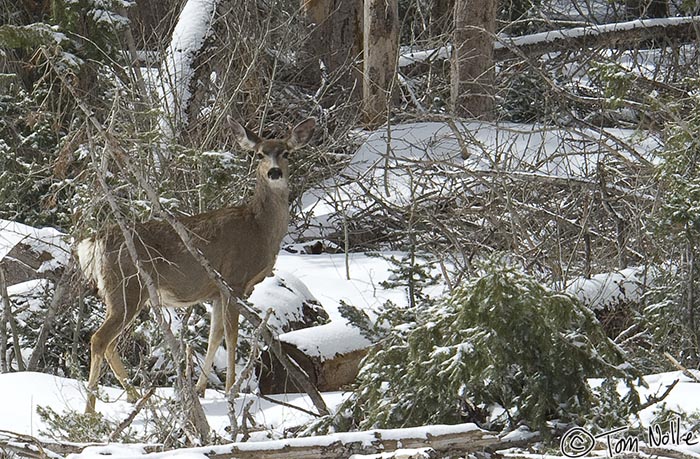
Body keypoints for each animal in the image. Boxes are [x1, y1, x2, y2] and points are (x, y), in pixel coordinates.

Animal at [76, 117, 314, 414]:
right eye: (259, 154)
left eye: (286, 152)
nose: (273, 172)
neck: (259, 228)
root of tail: (93, 241)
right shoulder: (233, 280)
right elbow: (232, 336)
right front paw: (231, 390)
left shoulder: (216, 291)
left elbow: (215, 335)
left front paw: (201, 389)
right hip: (127, 287)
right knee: (99, 339)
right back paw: (91, 410)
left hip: (120, 293)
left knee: (108, 342)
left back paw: (136, 396)